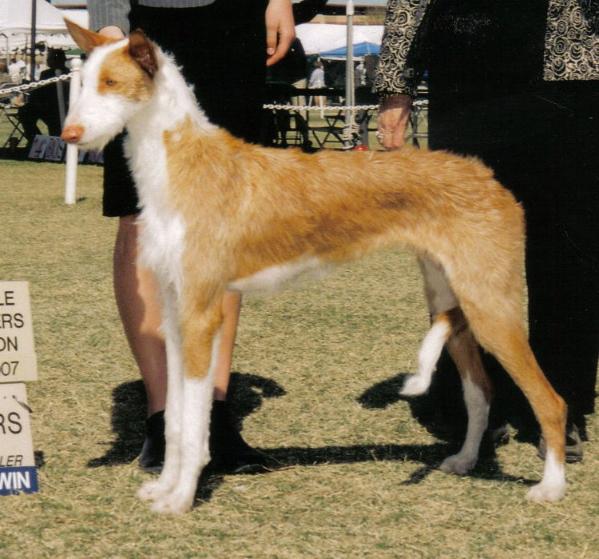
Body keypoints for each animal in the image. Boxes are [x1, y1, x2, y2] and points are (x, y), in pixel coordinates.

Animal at [63, 19, 568, 516]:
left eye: (112, 84)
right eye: (83, 83)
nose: (70, 135)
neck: (183, 164)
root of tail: (487, 177)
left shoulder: (201, 314)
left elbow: (193, 426)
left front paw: (182, 499)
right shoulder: (174, 310)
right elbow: (175, 420)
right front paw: (165, 488)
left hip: (491, 305)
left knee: (550, 401)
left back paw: (552, 486)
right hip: (451, 296)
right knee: (480, 391)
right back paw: (464, 460)